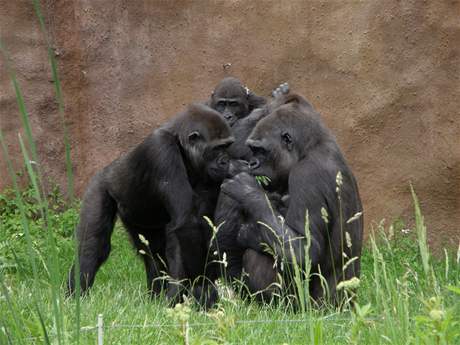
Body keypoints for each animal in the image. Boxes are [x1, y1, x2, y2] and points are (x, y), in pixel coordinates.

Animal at [66, 102, 235, 306]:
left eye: (227, 146)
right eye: (218, 148)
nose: (226, 162)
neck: (180, 144)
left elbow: (200, 228)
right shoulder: (161, 150)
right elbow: (187, 224)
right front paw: (197, 288)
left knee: (153, 252)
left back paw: (154, 298)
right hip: (99, 186)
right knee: (93, 246)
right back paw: (75, 296)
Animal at [217, 92, 362, 304]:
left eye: (260, 150)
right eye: (252, 150)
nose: (252, 163)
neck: (310, 148)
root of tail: (346, 305)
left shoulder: (306, 176)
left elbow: (305, 251)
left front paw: (247, 191)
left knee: (259, 252)